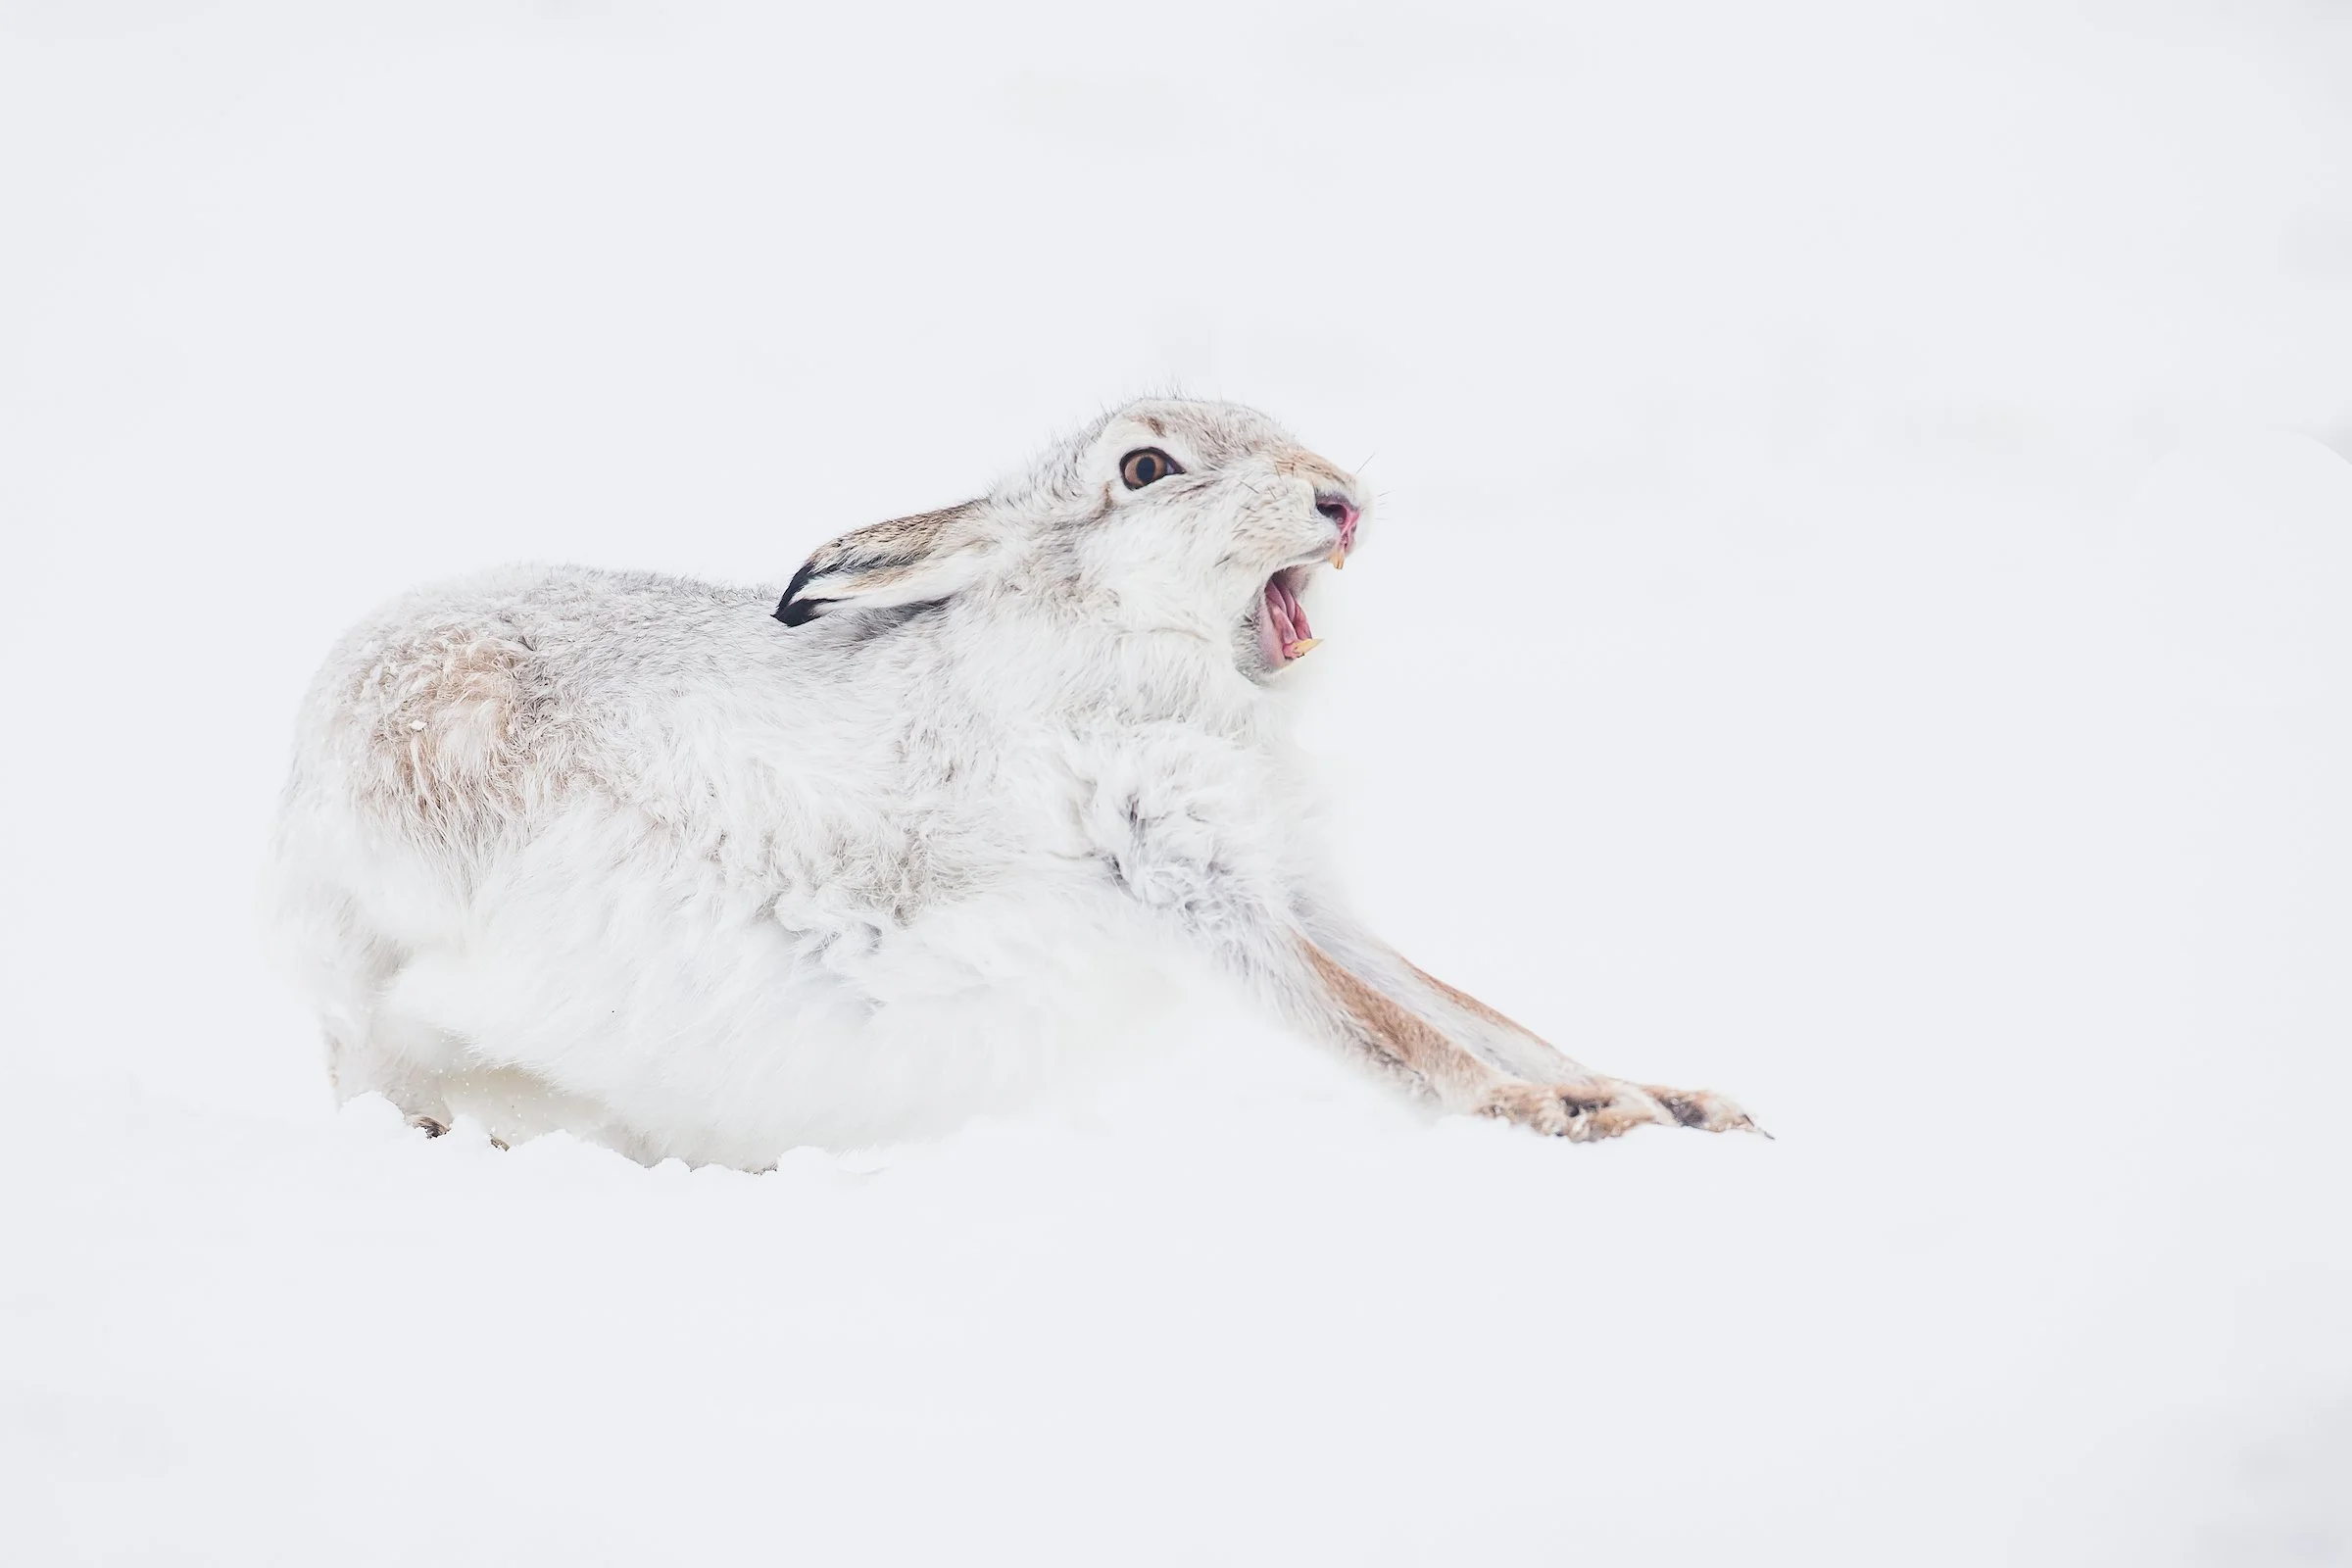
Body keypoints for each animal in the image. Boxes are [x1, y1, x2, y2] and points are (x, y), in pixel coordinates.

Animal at [266, 397, 1761, 1166]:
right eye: (1146, 469)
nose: (1340, 499)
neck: (1137, 657)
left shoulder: (1301, 892)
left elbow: (1460, 1001)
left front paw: (1672, 1101)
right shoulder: (1178, 882)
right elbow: (1388, 1030)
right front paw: (1556, 1119)